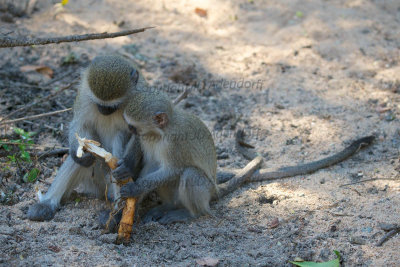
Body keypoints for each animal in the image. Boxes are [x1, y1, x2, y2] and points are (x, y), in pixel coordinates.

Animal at [26, 55, 143, 222]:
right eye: (99, 103)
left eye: (112, 106)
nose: (103, 110)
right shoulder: (84, 96)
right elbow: (79, 124)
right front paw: (79, 154)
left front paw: (128, 163)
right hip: (95, 179)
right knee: (80, 160)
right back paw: (46, 204)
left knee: (118, 143)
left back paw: (117, 213)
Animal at [113, 91, 376, 225]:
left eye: (132, 127)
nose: (130, 132)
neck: (159, 133)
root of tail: (215, 192)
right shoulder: (149, 140)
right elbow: (149, 164)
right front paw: (125, 169)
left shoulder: (174, 142)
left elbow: (173, 170)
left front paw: (134, 188)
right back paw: (167, 206)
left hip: (206, 191)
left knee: (190, 174)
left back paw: (189, 214)